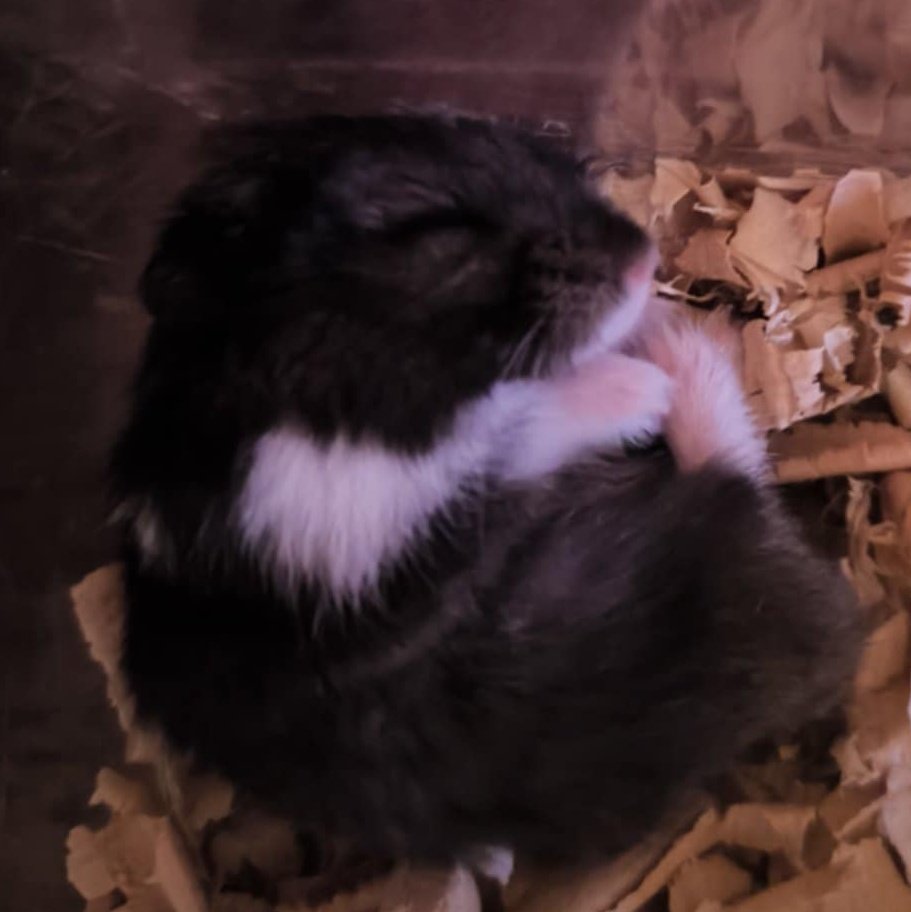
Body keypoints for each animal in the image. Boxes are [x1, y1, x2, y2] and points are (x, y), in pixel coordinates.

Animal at [111, 114, 862, 868]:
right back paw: (673, 348)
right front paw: (641, 384)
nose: (644, 262)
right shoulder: (366, 507)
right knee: (736, 472)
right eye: (431, 224)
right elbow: (514, 422)